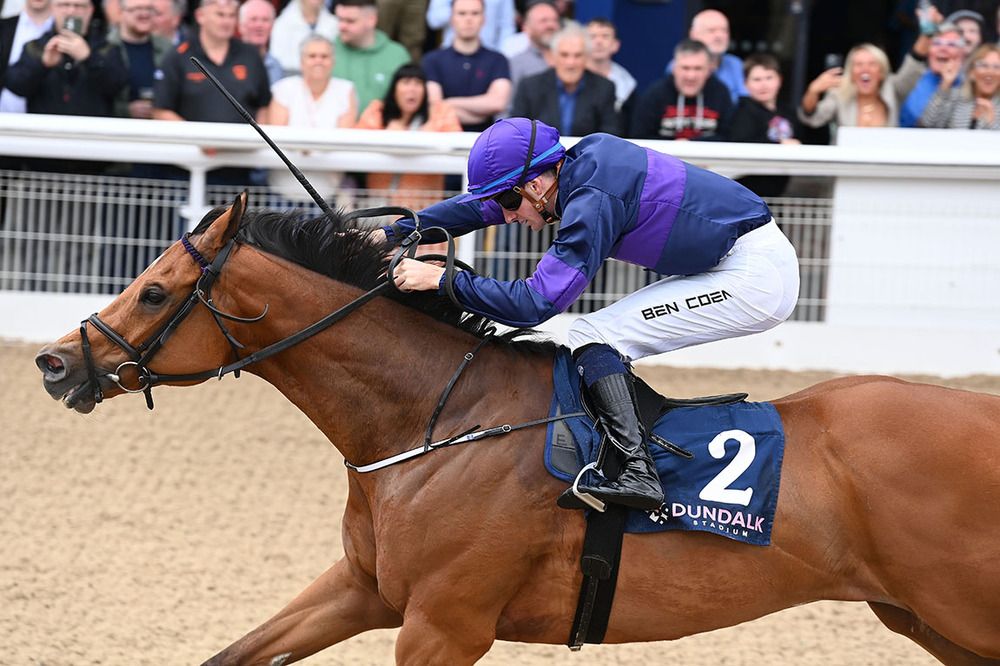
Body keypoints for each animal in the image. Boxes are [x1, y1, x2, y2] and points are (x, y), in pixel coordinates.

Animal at [35, 193, 1000, 664]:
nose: (54, 362)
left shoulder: (444, 626)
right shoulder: (366, 590)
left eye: (154, 292)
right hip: (926, 620)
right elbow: (234, 653)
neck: (434, 421)